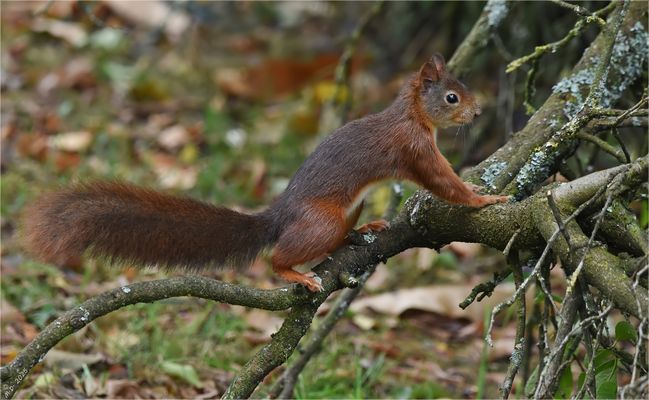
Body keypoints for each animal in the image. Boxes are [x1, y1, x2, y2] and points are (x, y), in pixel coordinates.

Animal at [22, 53, 509, 292]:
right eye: (451, 97)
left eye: (462, 89)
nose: (479, 111)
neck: (411, 115)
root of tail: (280, 215)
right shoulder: (415, 149)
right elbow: (443, 183)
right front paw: (486, 197)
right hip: (320, 220)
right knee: (278, 256)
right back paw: (295, 274)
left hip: (345, 211)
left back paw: (362, 231)